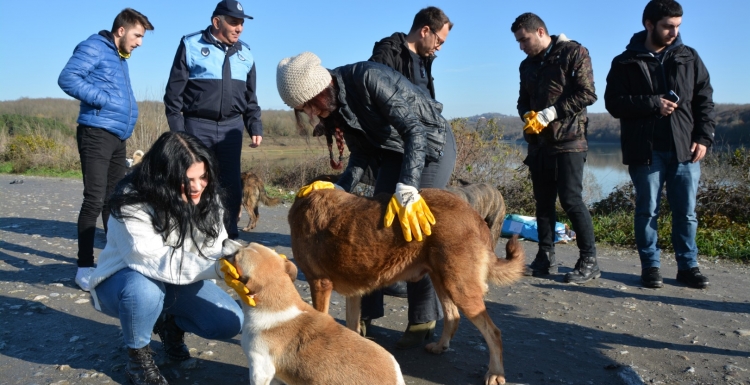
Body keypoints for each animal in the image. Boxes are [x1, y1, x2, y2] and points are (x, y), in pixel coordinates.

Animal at [290, 188, 528, 382]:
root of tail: (474, 215)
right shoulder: (354, 294)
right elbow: (352, 329)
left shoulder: (319, 284)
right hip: (442, 280)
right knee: (453, 316)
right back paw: (440, 346)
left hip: (460, 288)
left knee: (493, 333)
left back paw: (495, 373)